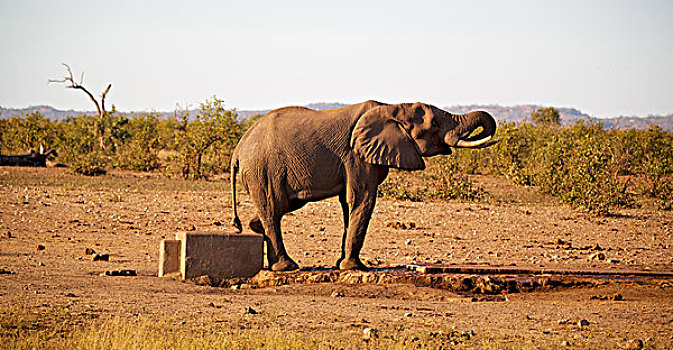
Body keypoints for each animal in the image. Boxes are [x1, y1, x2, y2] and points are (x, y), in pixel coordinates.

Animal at [228, 100, 496, 272]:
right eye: (433, 126)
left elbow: (350, 204)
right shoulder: (356, 156)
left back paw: (257, 231)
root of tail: (238, 150)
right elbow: (361, 199)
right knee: (273, 209)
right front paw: (355, 268)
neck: (392, 106)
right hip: (263, 170)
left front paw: (343, 265)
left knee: (278, 207)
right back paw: (287, 267)